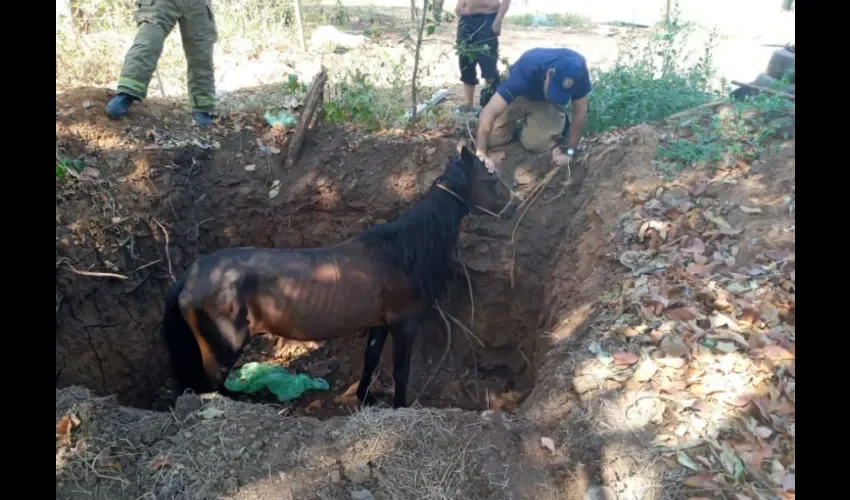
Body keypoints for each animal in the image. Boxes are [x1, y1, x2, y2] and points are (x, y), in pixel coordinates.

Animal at [161, 143, 512, 408]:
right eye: (492, 180)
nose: (514, 205)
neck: (405, 249)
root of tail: (191, 276)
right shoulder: (405, 322)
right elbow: (401, 371)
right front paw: (400, 406)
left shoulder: (380, 322)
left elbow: (371, 360)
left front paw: (365, 398)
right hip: (222, 348)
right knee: (212, 386)